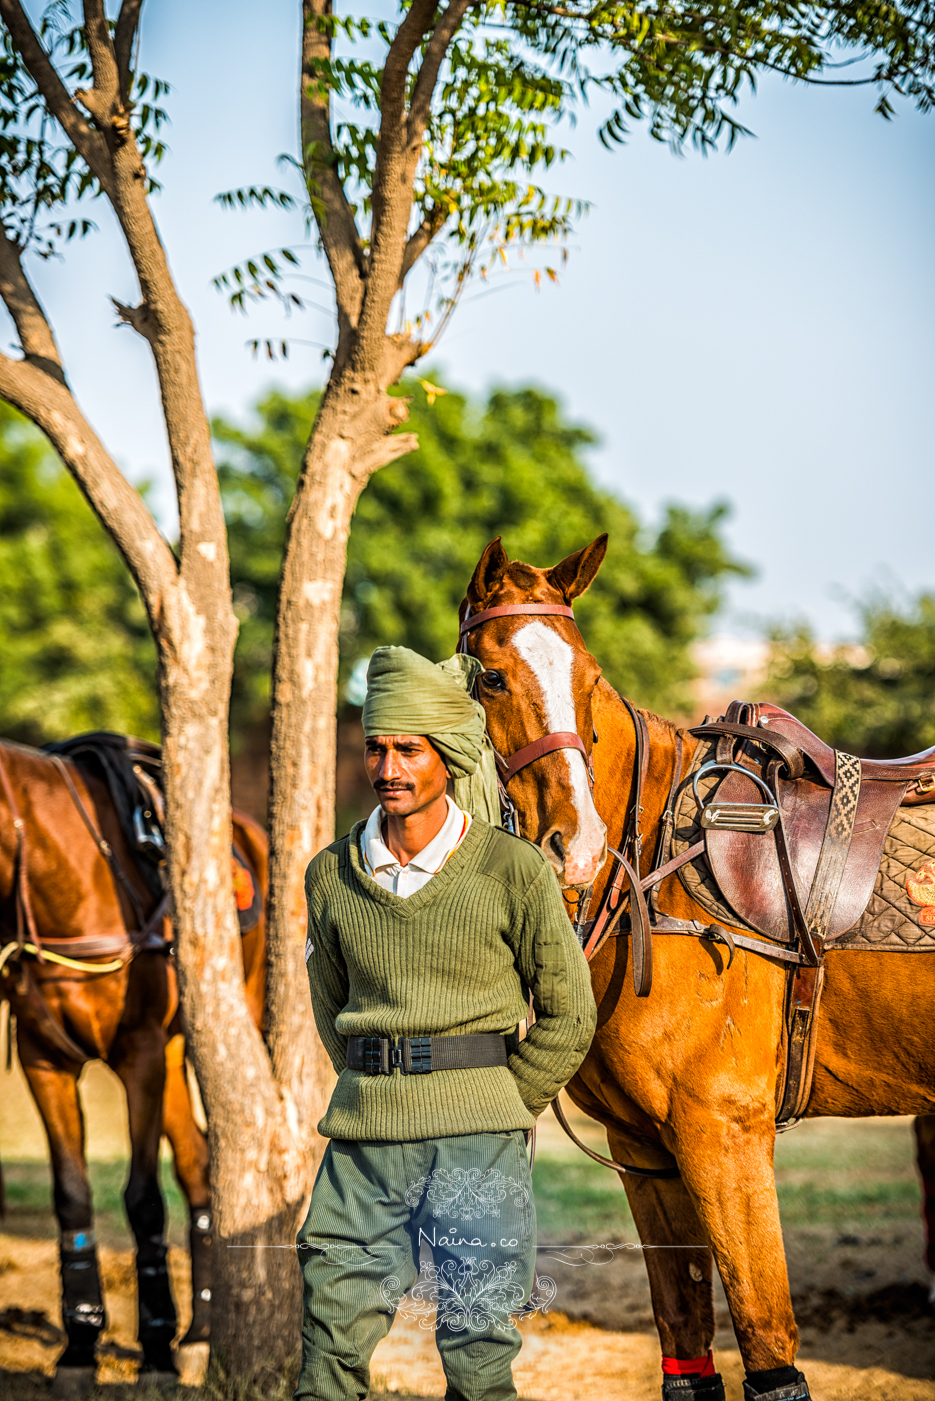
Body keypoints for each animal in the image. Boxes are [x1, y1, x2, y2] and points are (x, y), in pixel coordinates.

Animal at [1, 739, 269, 1395]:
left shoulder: (140, 1055)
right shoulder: (43, 1060)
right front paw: (79, 1342)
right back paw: (201, 1330)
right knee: (199, 1164)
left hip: (220, 1029)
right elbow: (71, 1194)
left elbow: (144, 1197)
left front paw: (154, 1347)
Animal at [459, 535, 935, 1401]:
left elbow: (768, 1343)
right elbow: (684, 1337)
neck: (656, 871)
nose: (577, 845)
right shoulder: (647, 1151)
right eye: (491, 677)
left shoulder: (724, 1135)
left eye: (588, 679)